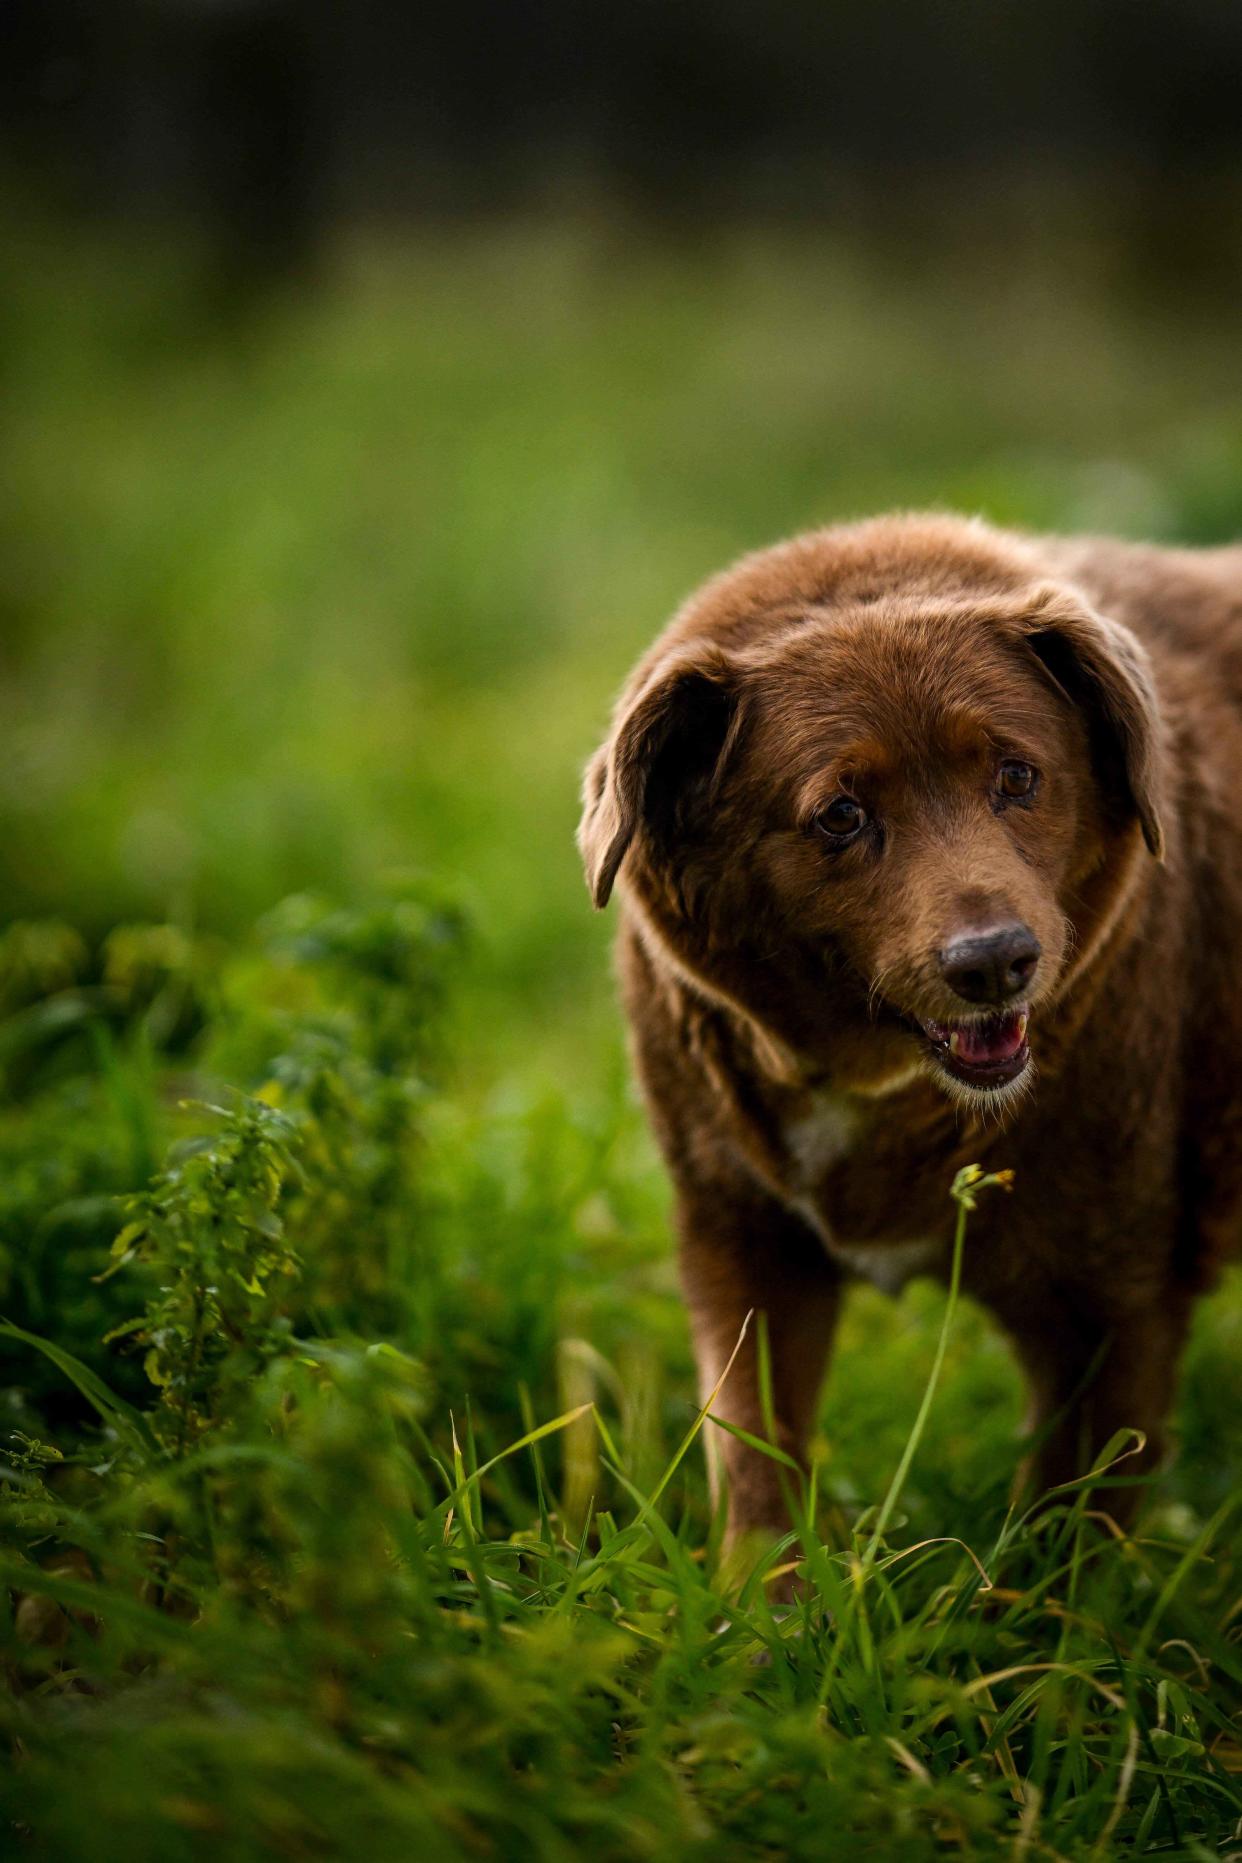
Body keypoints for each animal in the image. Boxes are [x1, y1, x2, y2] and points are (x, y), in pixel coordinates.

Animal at [577, 510, 1242, 1557]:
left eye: (1018, 775)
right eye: (840, 814)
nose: (995, 962)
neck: (876, 1089)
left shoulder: (1118, 1298)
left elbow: (1069, 1533)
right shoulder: (742, 1241)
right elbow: (753, 1458)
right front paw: (761, 1599)